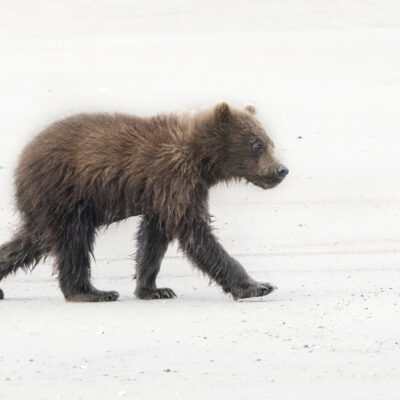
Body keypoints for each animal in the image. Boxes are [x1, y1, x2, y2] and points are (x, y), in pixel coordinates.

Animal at [0, 101, 288, 302]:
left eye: (271, 142)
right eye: (256, 144)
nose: (281, 169)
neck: (200, 160)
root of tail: (22, 158)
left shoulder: (164, 194)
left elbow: (153, 239)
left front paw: (154, 289)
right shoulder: (175, 180)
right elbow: (196, 234)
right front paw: (258, 286)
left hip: (49, 205)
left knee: (32, 240)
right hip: (64, 194)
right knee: (74, 242)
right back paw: (92, 292)